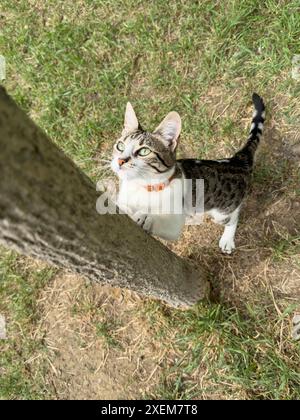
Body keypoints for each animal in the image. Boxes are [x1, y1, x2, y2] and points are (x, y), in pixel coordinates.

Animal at [111, 94, 266, 254]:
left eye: (144, 151)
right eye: (120, 146)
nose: (120, 160)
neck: (140, 188)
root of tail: (237, 160)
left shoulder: (174, 223)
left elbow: (162, 222)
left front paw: (145, 217)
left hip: (222, 211)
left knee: (233, 217)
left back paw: (227, 239)